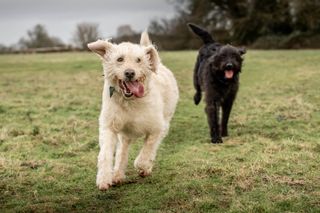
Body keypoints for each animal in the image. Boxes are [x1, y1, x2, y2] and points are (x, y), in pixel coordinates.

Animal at [87, 31, 178, 190]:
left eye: (139, 60)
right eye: (120, 59)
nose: (129, 73)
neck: (130, 102)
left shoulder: (158, 128)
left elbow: (148, 149)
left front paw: (143, 166)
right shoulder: (109, 126)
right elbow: (105, 154)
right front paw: (104, 178)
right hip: (125, 134)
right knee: (122, 151)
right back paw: (117, 175)